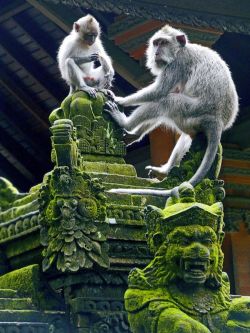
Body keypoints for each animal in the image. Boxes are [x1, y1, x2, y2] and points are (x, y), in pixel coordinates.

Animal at [104, 24, 239, 196]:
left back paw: (125, 123)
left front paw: (120, 99)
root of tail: (218, 122)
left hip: (193, 112)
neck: (181, 49)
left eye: (163, 43)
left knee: (166, 101)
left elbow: (159, 92)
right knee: (184, 133)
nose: (156, 52)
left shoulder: (178, 63)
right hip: (193, 123)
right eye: (156, 43)